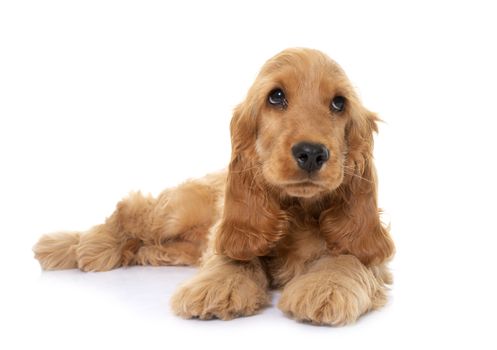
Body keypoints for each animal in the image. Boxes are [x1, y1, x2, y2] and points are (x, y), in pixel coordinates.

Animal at [33, 48, 394, 326]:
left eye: (338, 103)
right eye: (276, 96)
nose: (312, 153)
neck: (299, 209)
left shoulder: (369, 252)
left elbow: (349, 258)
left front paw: (324, 288)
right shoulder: (231, 232)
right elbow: (233, 257)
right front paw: (218, 287)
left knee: (147, 243)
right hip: (174, 211)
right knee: (129, 211)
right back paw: (77, 246)